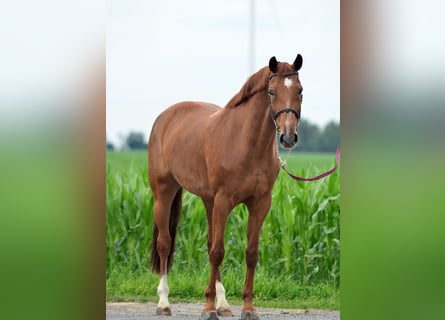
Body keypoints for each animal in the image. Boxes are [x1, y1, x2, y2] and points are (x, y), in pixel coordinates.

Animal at [148, 53, 302, 318]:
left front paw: (247, 308)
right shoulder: (224, 201)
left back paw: (223, 304)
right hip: (164, 194)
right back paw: (164, 303)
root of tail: (165, 117)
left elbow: (250, 253)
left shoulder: (260, 203)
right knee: (165, 244)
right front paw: (208, 308)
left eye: (300, 90)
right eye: (272, 91)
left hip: (208, 200)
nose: (288, 137)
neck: (245, 142)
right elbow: (218, 252)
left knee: (210, 242)